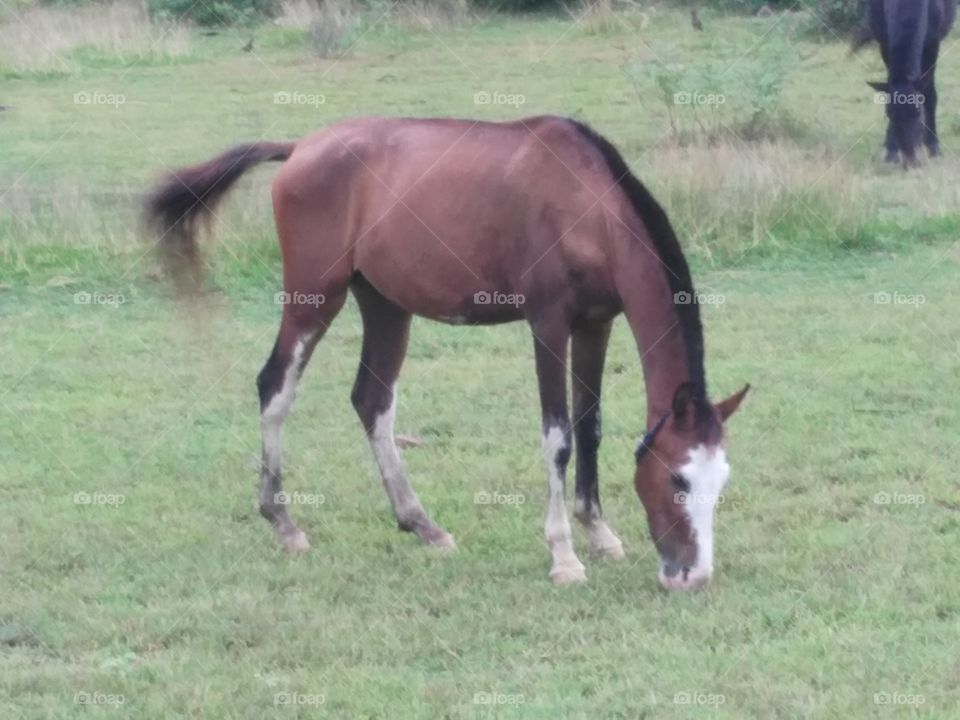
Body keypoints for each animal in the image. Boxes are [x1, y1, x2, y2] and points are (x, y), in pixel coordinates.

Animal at [145, 115, 749, 591]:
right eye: (677, 481)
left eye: (720, 482)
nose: (691, 577)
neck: (587, 203)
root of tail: (300, 148)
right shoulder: (549, 324)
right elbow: (558, 437)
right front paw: (564, 557)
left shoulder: (596, 323)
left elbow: (590, 425)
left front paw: (599, 534)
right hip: (314, 298)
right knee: (275, 388)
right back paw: (285, 523)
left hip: (385, 305)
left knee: (372, 402)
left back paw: (421, 525)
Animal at [854, 0, 957, 166]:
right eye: (889, 114)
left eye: (918, 113)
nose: (910, 161)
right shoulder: (885, 42)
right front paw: (891, 151)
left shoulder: (933, 44)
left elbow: (929, 94)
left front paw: (933, 147)